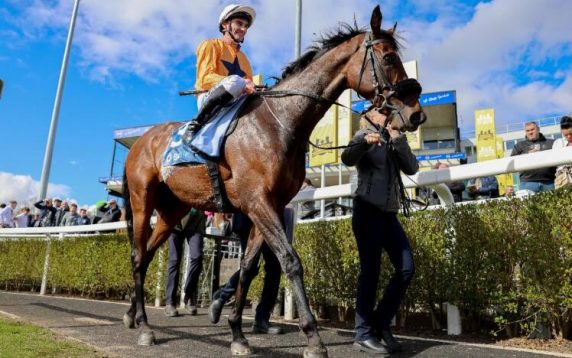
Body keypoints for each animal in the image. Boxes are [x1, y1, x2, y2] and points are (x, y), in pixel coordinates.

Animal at [122, 6, 424, 358]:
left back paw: (132, 315)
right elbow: (290, 261)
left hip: (172, 211)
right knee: (138, 256)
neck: (278, 124)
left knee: (146, 256)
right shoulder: (258, 202)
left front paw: (238, 334)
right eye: (388, 58)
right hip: (143, 201)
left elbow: (249, 268)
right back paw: (145, 327)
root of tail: (140, 142)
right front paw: (313, 338)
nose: (416, 114)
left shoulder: (268, 206)